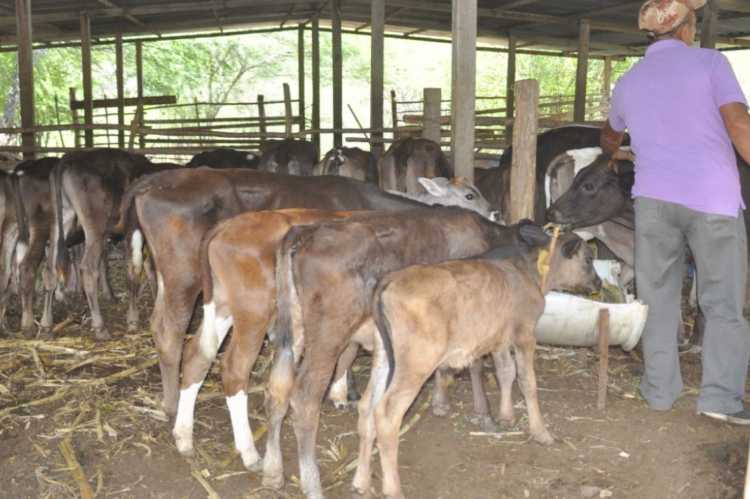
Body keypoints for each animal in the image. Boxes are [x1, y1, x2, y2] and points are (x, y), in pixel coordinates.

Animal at [50, 150, 153, 342]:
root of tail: (70, 158)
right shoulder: (133, 229)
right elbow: (135, 269)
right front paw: (133, 320)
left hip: (63, 219)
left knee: (50, 265)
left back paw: (45, 324)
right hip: (95, 229)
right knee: (89, 268)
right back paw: (100, 327)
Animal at [117, 169, 502, 422]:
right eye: (470, 194)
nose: (496, 213)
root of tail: (157, 177)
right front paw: (343, 392)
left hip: (170, 275)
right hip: (184, 276)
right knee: (169, 331)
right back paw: (170, 407)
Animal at [262, 210, 536, 496]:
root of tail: (305, 232)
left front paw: (440, 402)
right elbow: (476, 363)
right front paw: (484, 414)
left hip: (292, 329)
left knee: (277, 389)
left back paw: (272, 472)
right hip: (329, 335)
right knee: (304, 398)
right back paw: (312, 484)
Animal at [356, 231, 604, 499]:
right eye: (588, 259)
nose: (599, 283)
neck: (528, 271)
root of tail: (390, 278)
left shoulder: (499, 337)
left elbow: (506, 372)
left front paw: (506, 416)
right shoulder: (525, 334)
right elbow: (527, 382)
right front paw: (540, 432)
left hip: (384, 356)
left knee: (367, 406)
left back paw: (361, 481)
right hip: (416, 362)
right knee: (387, 413)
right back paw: (393, 489)